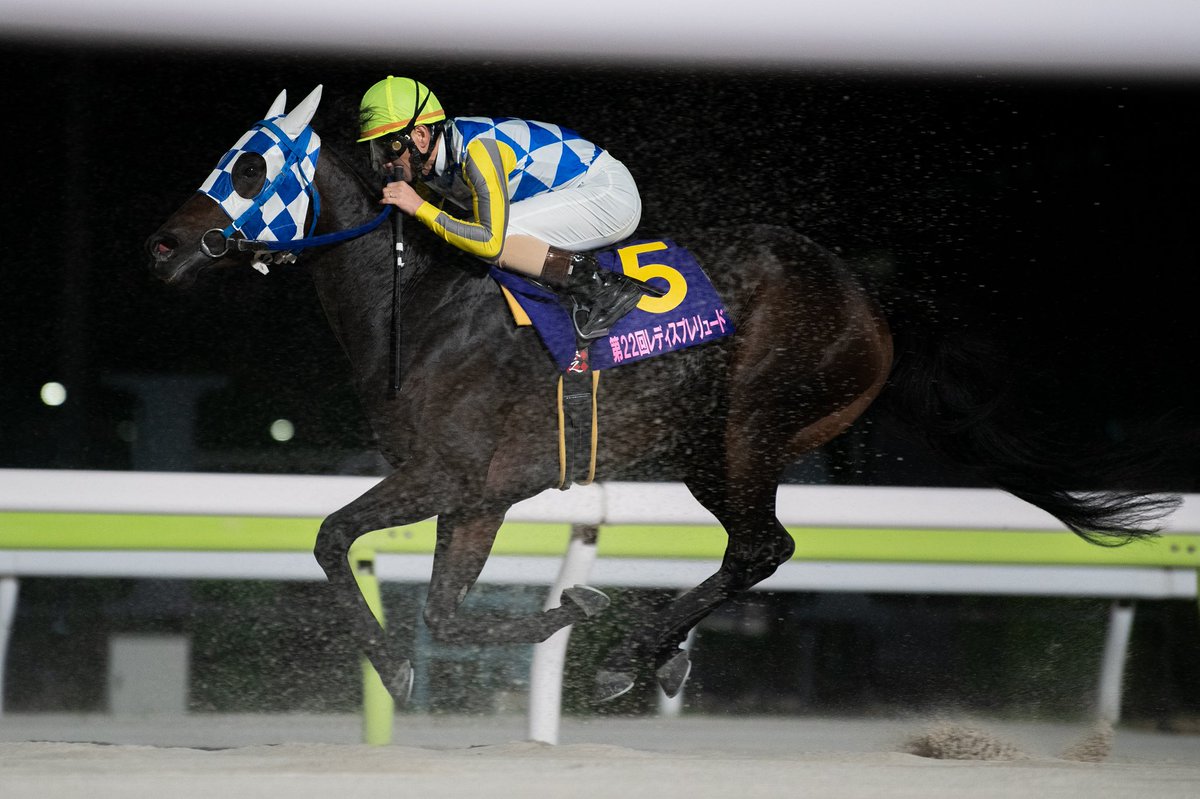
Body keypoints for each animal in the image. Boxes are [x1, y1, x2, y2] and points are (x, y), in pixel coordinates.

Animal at [145, 85, 1177, 705]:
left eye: (249, 166)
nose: (161, 243)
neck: (425, 299)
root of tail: (867, 300)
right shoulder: (477, 498)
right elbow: (441, 607)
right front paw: (556, 613)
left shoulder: (446, 474)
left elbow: (331, 538)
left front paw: (416, 659)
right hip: (705, 450)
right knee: (753, 549)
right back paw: (652, 647)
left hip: (753, 424)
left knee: (764, 545)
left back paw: (635, 654)